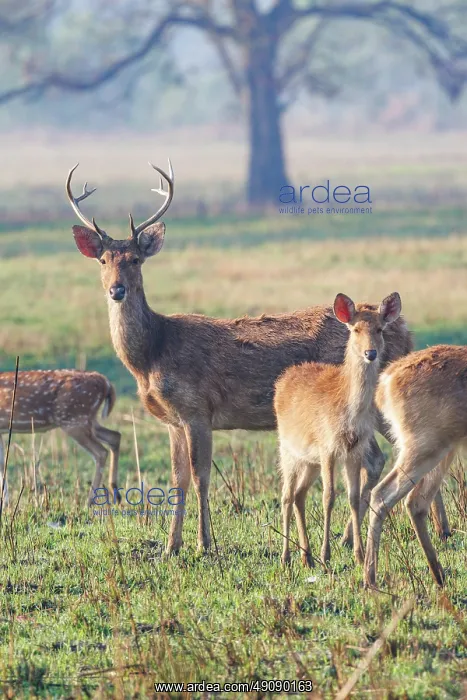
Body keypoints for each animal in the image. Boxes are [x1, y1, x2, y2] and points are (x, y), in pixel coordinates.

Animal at [0, 370, 120, 507]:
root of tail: (106, 383)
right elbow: (2, 463)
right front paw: (5, 504)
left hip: (74, 420)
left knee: (101, 452)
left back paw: (89, 502)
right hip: (87, 420)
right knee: (114, 436)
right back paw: (115, 493)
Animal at [274, 293, 402, 568]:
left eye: (380, 328)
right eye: (355, 329)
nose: (370, 353)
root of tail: (282, 380)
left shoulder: (354, 450)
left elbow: (353, 497)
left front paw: (359, 555)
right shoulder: (327, 448)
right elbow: (329, 496)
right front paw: (326, 555)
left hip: (309, 461)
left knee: (299, 495)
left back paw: (306, 556)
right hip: (288, 451)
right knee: (286, 495)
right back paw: (286, 556)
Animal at [364, 344, 466, 588]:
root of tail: (387, 379)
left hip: (441, 452)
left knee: (416, 503)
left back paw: (438, 576)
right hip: (424, 449)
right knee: (383, 494)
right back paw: (370, 580)